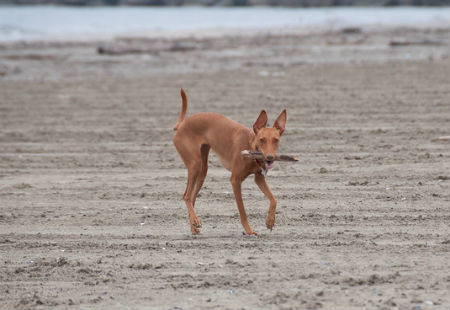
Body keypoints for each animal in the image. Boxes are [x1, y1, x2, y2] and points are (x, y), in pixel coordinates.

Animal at [172, 88, 284, 234]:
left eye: (276, 140)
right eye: (262, 140)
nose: (270, 157)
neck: (250, 146)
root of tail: (182, 124)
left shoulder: (259, 178)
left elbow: (274, 199)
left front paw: (270, 221)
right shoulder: (235, 181)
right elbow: (242, 210)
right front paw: (249, 230)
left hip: (202, 170)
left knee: (191, 198)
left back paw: (194, 226)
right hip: (195, 165)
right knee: (186, 196)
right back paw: (195, 221)